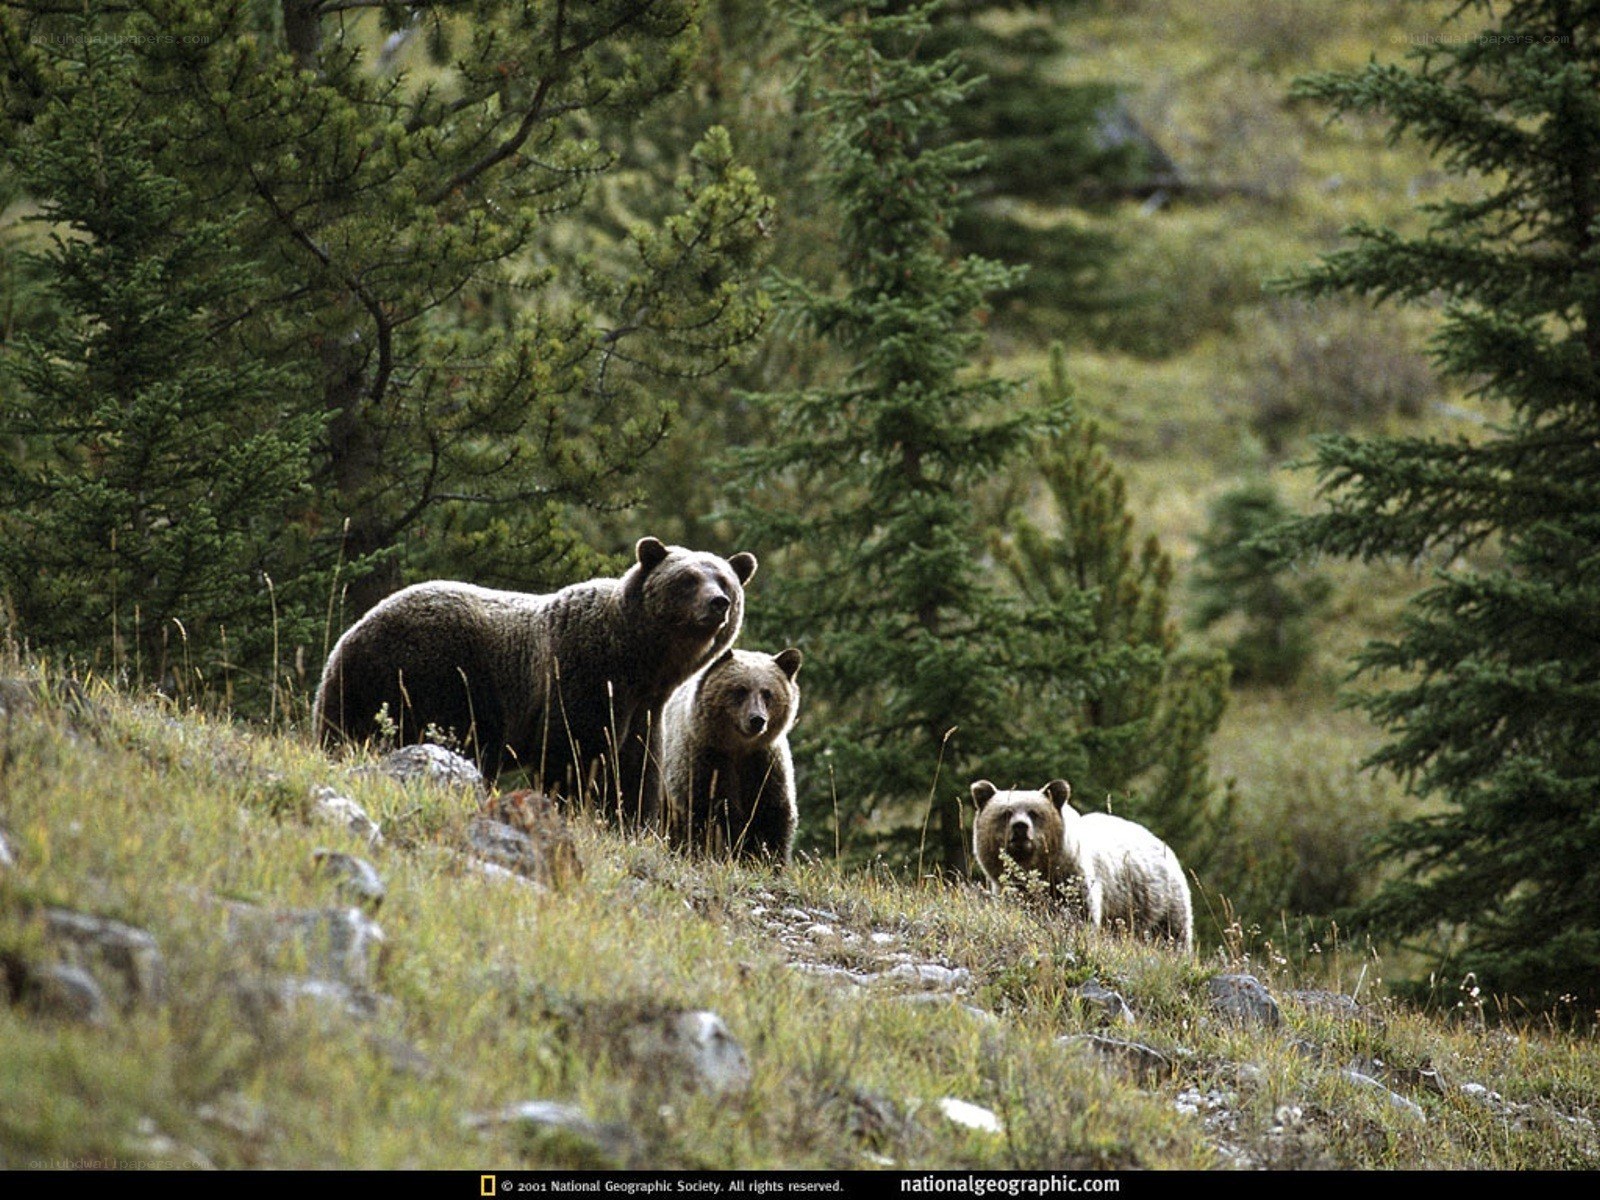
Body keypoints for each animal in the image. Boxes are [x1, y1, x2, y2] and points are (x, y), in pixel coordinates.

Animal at [312, 537, 757, 829]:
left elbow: (636, 768)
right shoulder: (582, 676)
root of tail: (346, 639)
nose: (718, 603)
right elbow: (576, 753)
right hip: (435, 673)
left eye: (725, 580)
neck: (638, 662)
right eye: (688, 579)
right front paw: (575, 807)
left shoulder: (644, 708)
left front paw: (629, 819)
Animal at [661, 647, 802, 865]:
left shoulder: (765, 766)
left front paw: (770, 860)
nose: (757, 719)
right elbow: (711, 813)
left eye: (767, 693)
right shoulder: (706, 762)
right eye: (740, 689)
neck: (738, 748)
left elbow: (772, 819)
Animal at [971, 778, 1193, 950]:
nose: (1020, 827)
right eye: (1006, 812)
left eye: (1034, 812)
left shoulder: (1075, 878)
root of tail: (1162, 843)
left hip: (1160, 901)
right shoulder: (1008, 890)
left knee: (1173, 934)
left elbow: (1081, 915)